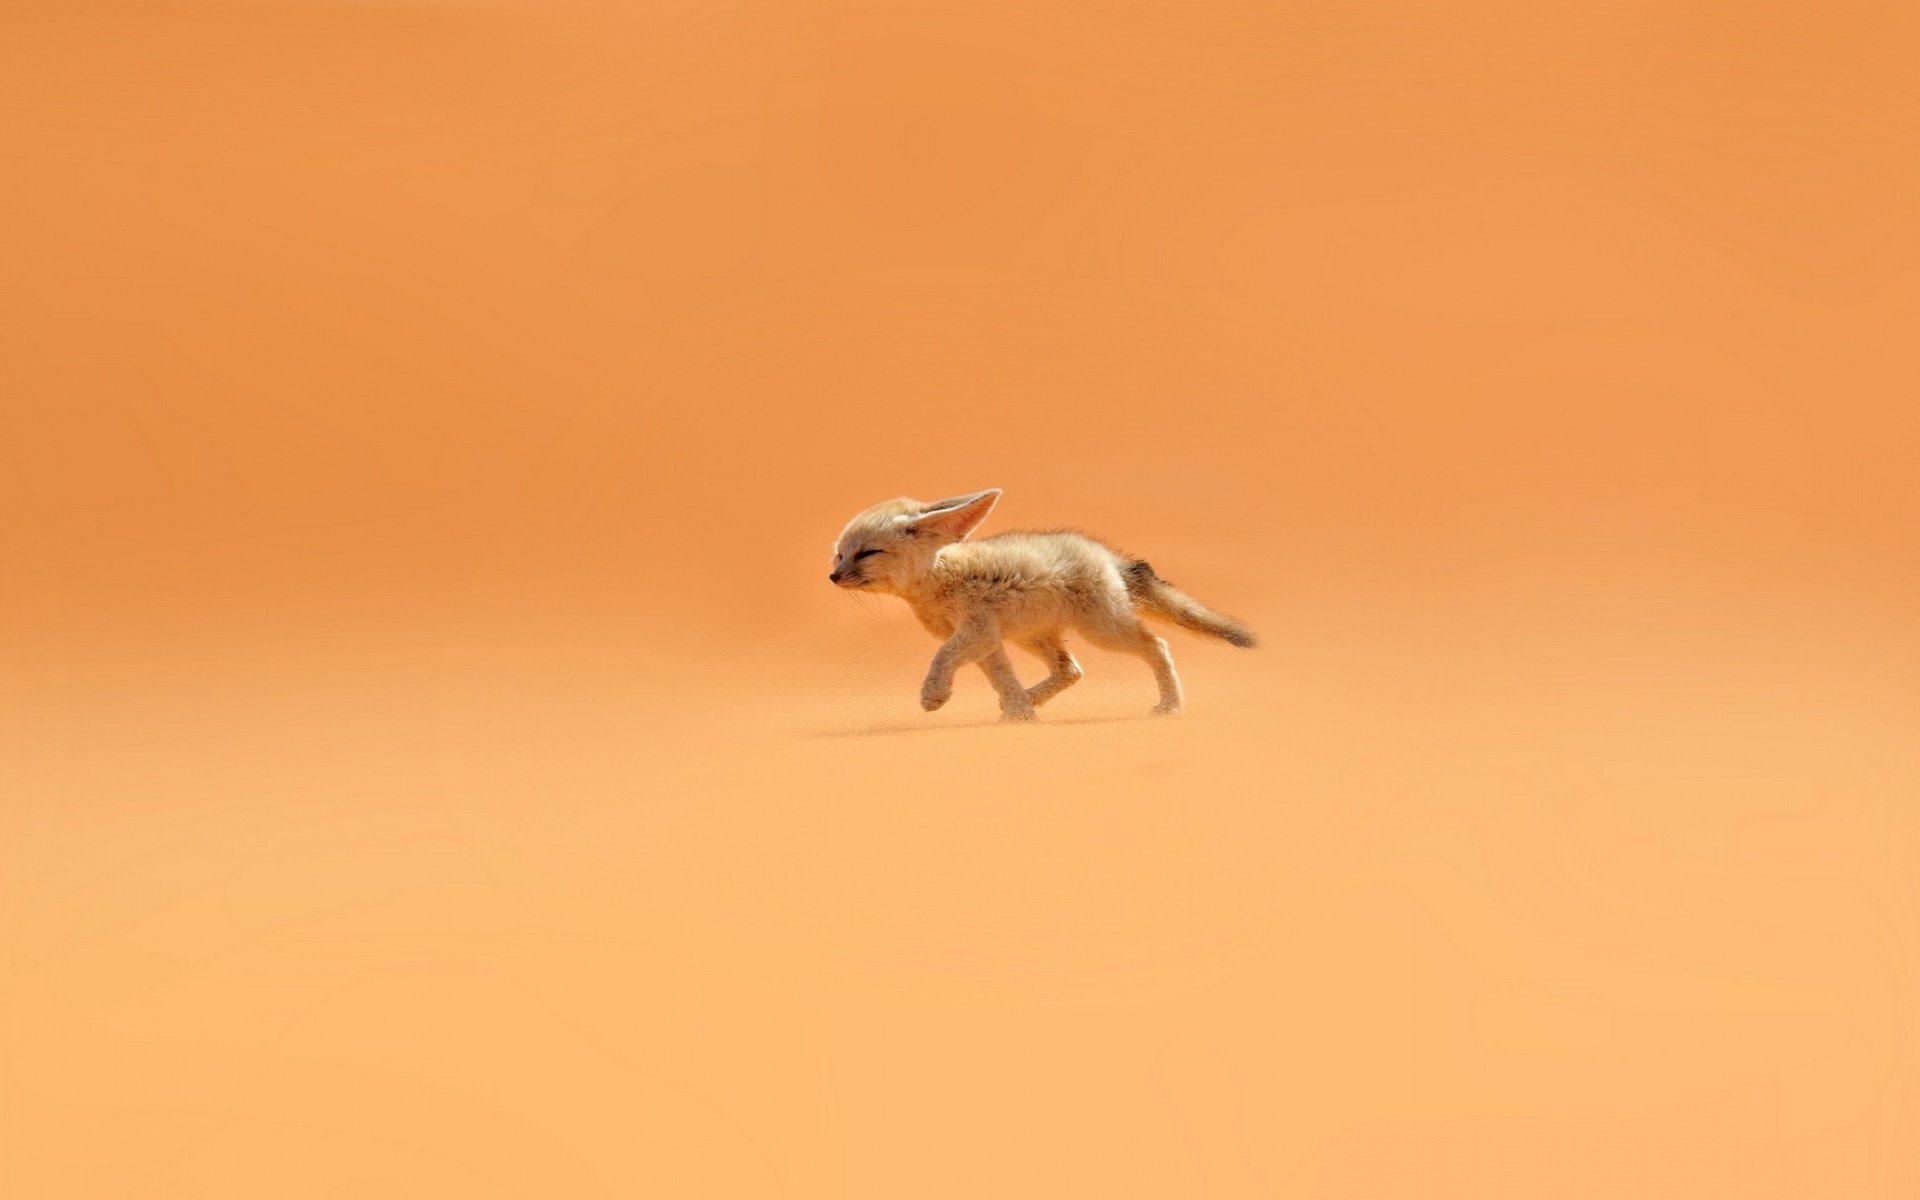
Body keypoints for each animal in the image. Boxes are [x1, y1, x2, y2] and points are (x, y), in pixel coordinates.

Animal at [828, 488, 1256, 721]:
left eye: (867, 553)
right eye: (840, 554)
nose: (833, 577)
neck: (939, 579)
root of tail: (1107, 556)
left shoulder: (975, 631)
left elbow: (942, 657)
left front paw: (934, 694)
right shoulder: (987, 640)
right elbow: (1003, 679)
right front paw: (1021, 714)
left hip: (1102, 632)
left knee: (1158, 646)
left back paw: (1170, 706)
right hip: (1032, 637)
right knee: (1071, 670)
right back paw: (1027, 701)